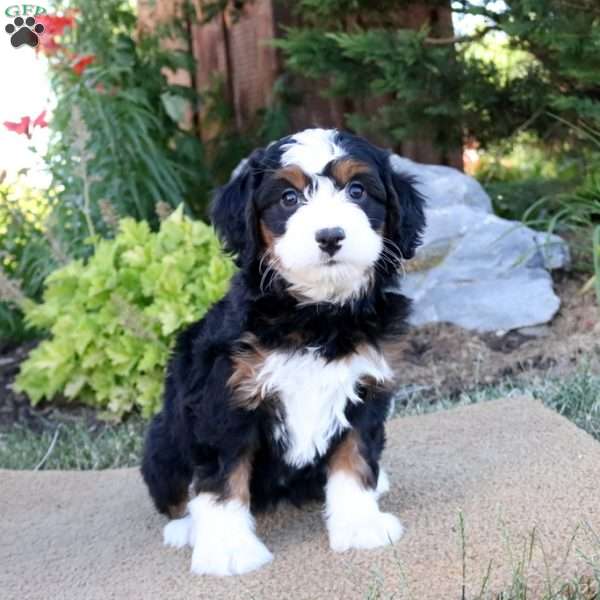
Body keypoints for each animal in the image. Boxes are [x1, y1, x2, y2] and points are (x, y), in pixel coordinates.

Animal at [141, 127, 424, 576]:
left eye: (357, 190)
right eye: (288, 198)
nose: (330, 236)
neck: (317, 315)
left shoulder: (364, 388)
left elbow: (354, 459)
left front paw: (359, 524)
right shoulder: (226, 399)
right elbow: (222, 478)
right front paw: (228, 549)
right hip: (161, 440)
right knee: (177, 490)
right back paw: (185, 528)